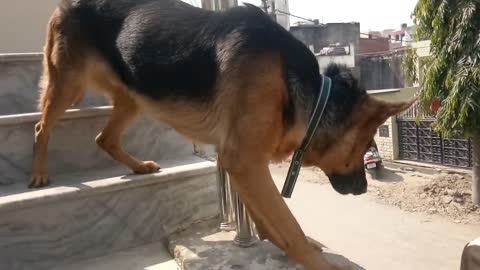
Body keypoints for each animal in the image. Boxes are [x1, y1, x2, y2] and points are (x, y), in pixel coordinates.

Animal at [31, 1, 414, 268]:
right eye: (363, 145)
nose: (363, 188)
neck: (303, 91)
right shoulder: (241, 158)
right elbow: (287, 222)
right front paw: (315, 260)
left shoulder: (243, 161)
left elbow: (266, 216)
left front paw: (275, 240)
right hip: (67, 84)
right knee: (41, 127)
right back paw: (38, 174)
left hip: (133, 96)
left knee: (104, 138)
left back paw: (138, 167)